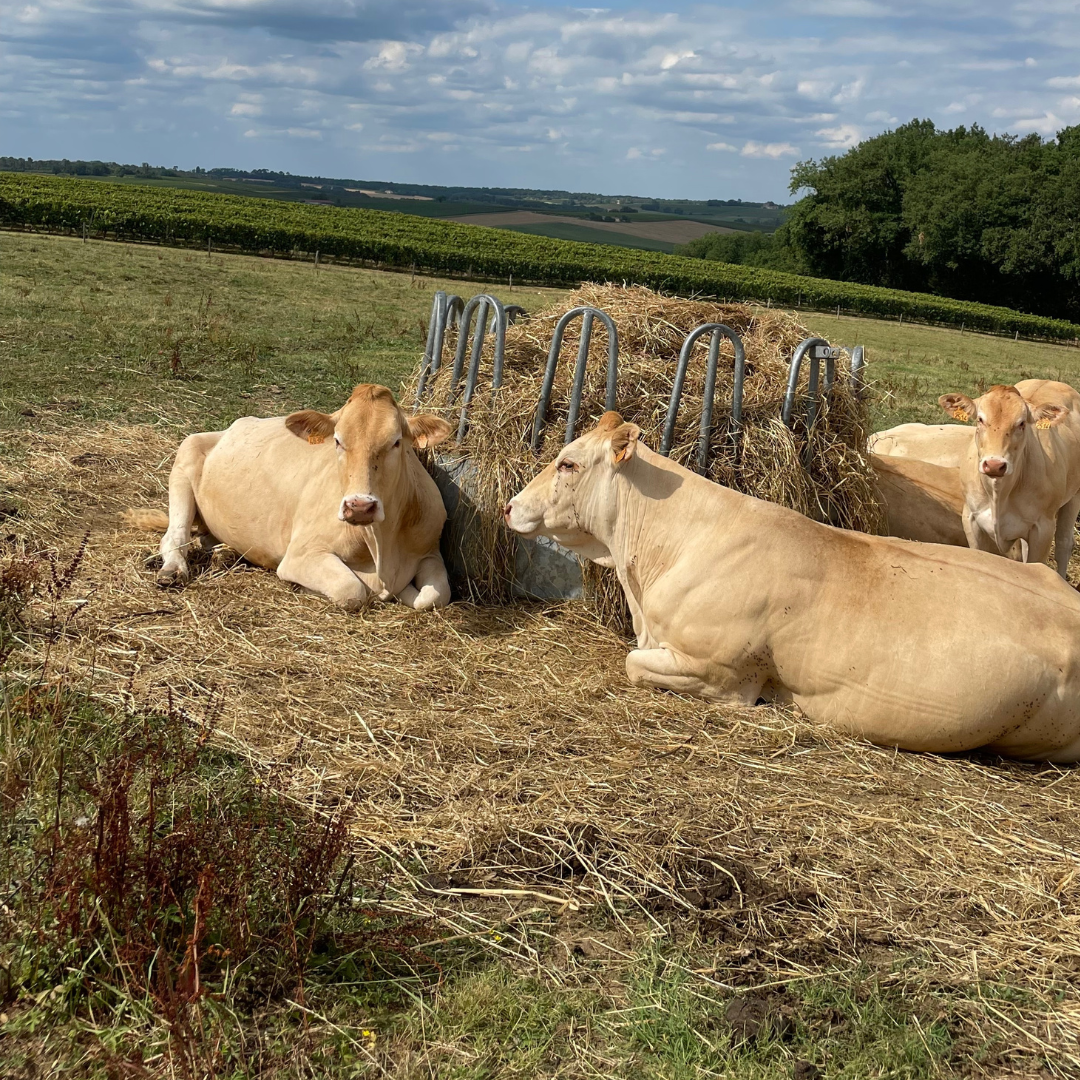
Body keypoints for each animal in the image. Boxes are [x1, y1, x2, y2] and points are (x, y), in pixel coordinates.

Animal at [129, 384, 451, 613]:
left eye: (396, 442)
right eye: (337, 440)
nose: (360, 506)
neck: (380, 544)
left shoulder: (431, 550)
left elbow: (435, 597)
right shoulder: (301, 554)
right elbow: (352, 590)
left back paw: (225, 553)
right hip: (184, 459)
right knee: (175, 536)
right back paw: (173, 570)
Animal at [933, 382, 1080, 583]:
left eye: (1022, 423)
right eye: (980, 419)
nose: (995, 464)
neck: (999, 494)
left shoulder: (1044, 527)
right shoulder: (971, 518)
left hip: (1074, 497)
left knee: (1064, 543)